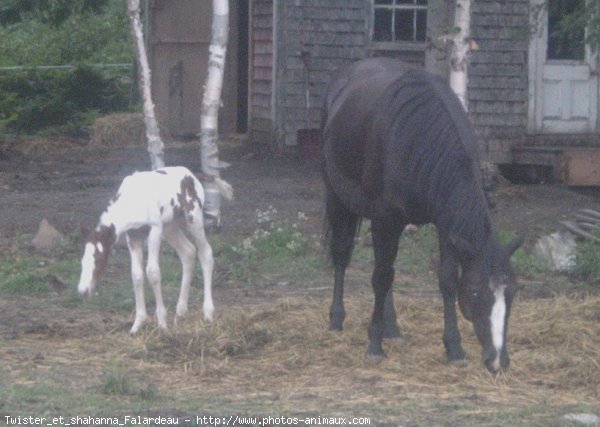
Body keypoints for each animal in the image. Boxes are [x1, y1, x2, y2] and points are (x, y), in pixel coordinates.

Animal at [75, 167, 234, 334]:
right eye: (82, 261)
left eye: (99, 259)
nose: (83, 290)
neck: (130, 203)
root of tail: (193, 175)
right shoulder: (133, 235)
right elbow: (137, 275)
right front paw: (137, 324)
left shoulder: (155, 229)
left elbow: (153, 272)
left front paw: (162, 325)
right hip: (170, 226)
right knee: (188, 252)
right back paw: (180, 313)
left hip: (193, 217)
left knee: (205, 253)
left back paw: (208, 313)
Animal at [322, 57, 524, 374]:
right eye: (475, 292)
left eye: (512, 291)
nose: (497, 360)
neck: (416, 139)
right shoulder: (385, 220)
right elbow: (380, 277)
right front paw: (374, 344)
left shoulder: (446, 225)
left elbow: (446, 279)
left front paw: (454, 347)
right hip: (337, 197)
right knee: (343, 254)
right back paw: (337, 318)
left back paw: (392, 327)